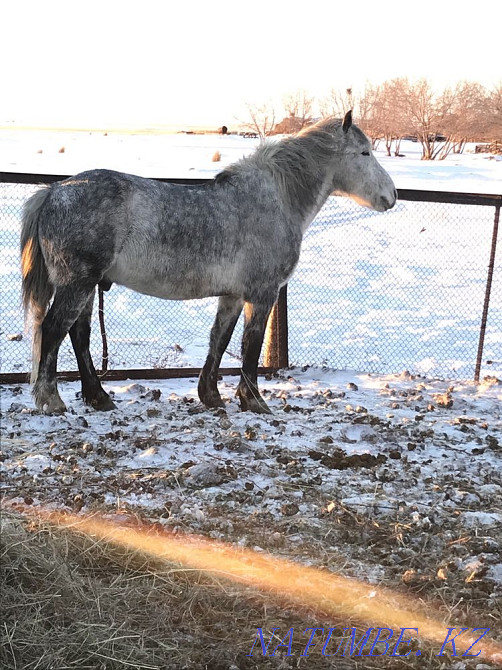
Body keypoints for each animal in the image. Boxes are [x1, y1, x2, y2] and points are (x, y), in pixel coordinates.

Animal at [20, 111, 397, 414]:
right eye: (364, 152)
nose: (391, 196)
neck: (275, 200)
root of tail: (54, 192)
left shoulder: (232, 296)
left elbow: (221, 340)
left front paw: (211, 396)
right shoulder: (263, 294)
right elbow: (250, 346)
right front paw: (254, 401)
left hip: (83, 288)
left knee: (78, 335)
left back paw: (98, 398)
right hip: (78, 285)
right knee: (52, 331)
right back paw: (52, 401)